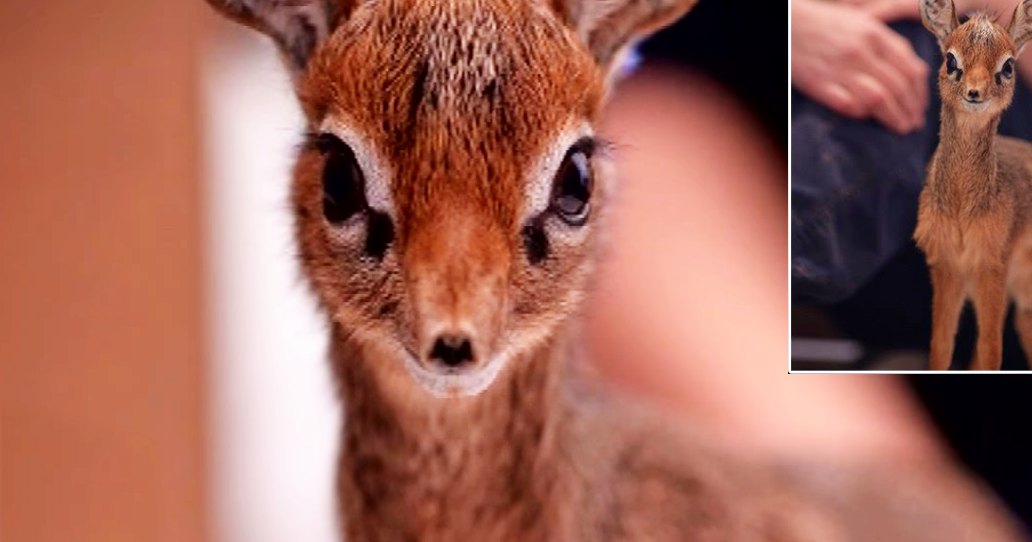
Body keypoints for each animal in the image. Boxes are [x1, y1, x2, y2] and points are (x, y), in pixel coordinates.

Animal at [916, 0, 1032, 370]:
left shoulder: (992, 266)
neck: (961, 209)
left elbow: (992, 348)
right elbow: (940, 347)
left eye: (1008, 66)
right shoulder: (947, 267)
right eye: (950, 59)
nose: (975, 92)